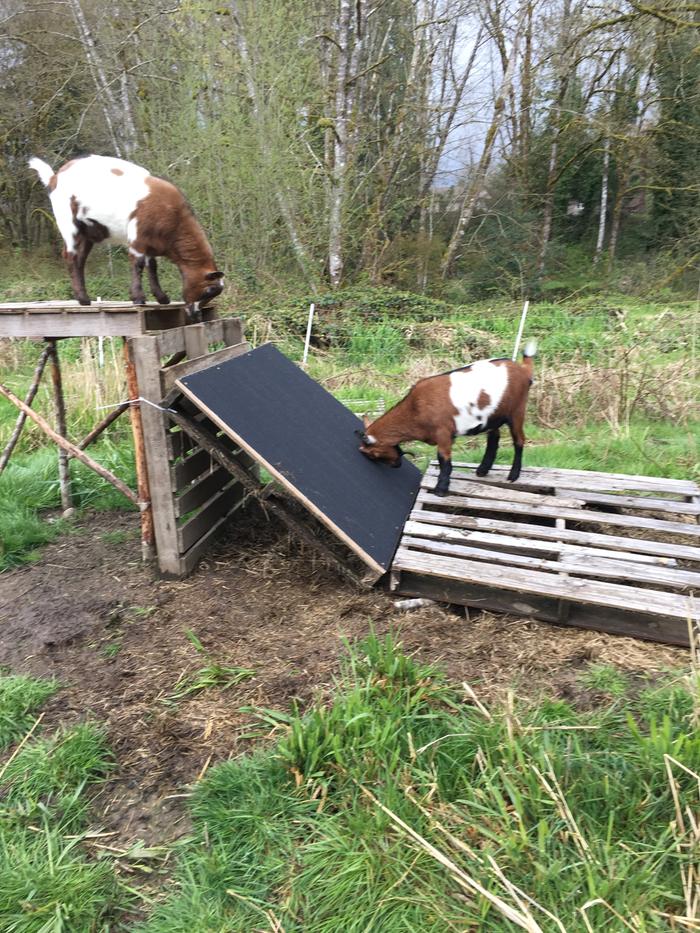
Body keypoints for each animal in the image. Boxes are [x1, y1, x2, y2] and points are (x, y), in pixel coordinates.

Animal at [27, 154, 223, 324]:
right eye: (209, 290)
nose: (197, 315)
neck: (174, 217)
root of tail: (55, 177)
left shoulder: (151, 244)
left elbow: (152, 267)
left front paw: (162, 298)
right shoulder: (138, 238)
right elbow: (138, 264)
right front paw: (138, 298)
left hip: (87, 233)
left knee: (80, 260)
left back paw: (85, 298)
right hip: (68, 223)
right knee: (70, 256)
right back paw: (82, 299)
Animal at [358, 340, 540, 496]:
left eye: (372, 453)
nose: (398, 464)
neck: (415, 408)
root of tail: (523, 369)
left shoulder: (443, 432)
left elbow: (444, 460)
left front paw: (441, 490)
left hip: (517, 410)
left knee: (519, 440)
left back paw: (513, 475)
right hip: (492, 416)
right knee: (494, 437)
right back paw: (482, 470)